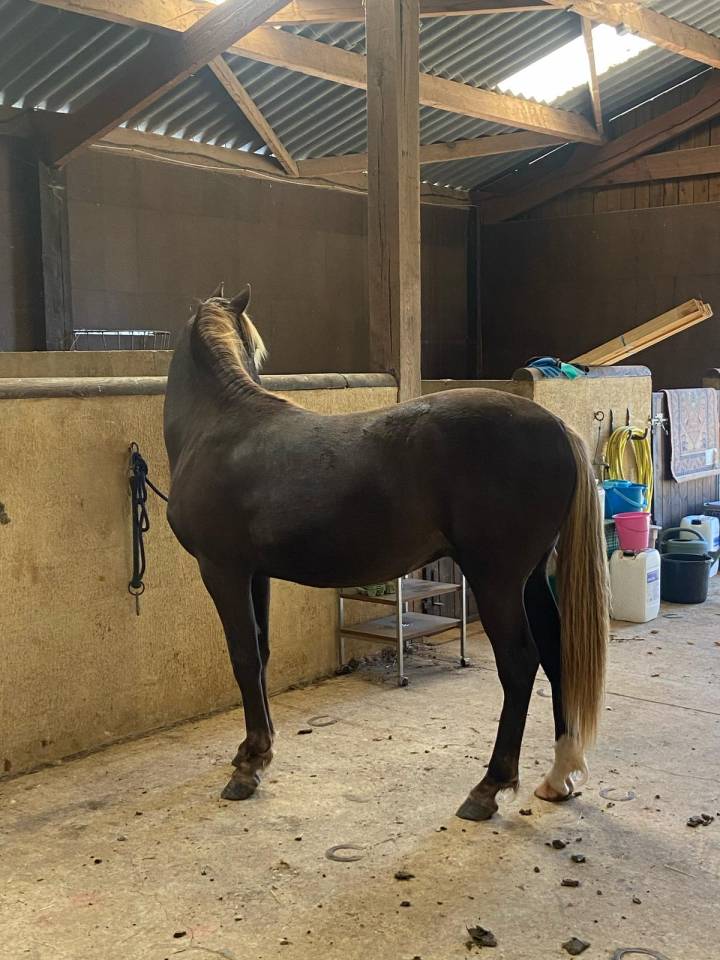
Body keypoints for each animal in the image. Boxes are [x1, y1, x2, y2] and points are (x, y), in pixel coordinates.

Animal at [163, 284, 609, 821]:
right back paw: (559, 776)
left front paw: (248, 768)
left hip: (497, 580)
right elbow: (262, 651)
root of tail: (557, 425)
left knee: (520, 663)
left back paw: (488, 788)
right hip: (531, 579)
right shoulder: (255, 574)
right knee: (557, 653)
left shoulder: (222, 570)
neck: (219, 429)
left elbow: (243, 656)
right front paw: (256, 749)